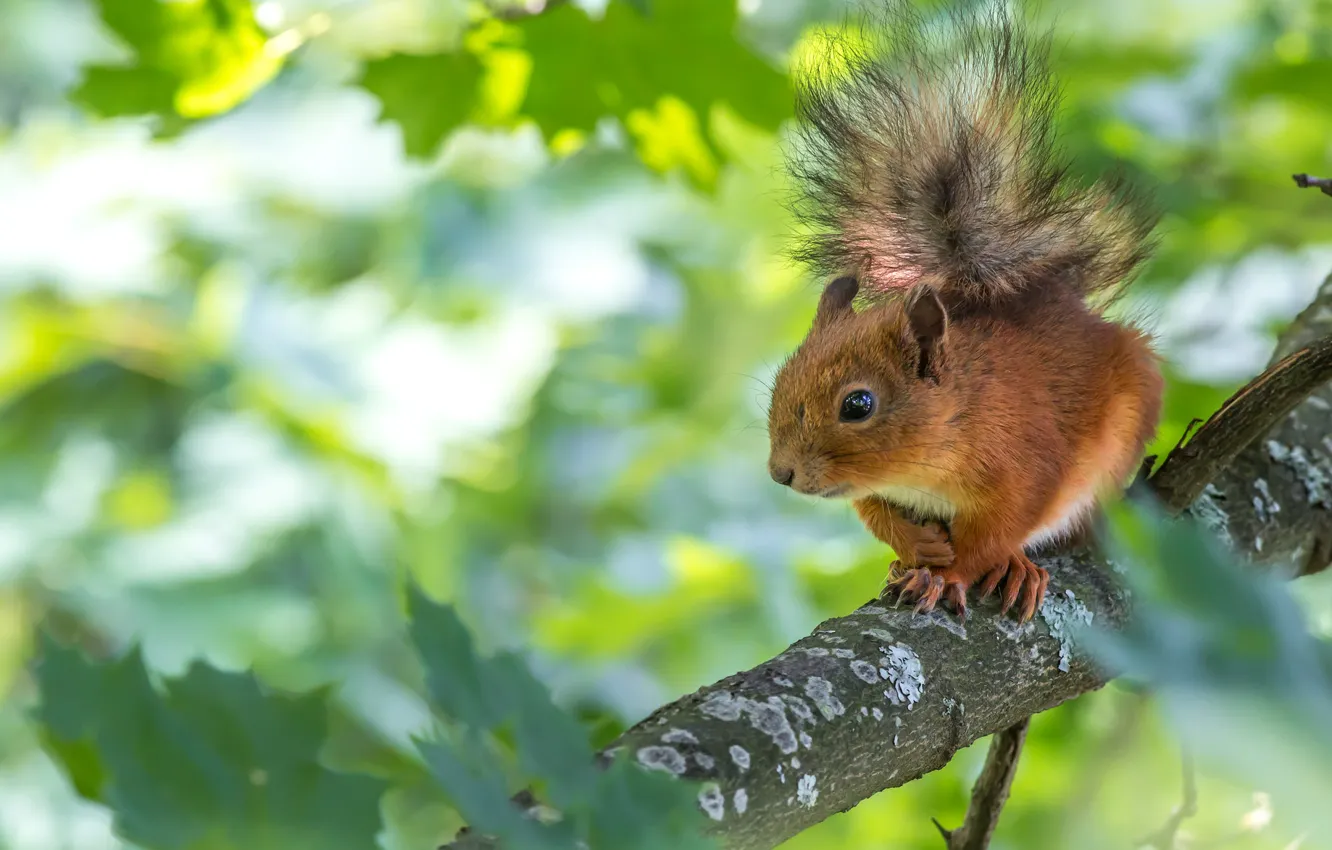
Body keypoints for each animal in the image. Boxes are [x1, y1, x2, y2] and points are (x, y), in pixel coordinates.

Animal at [767, 3, 1161, 623]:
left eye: (858, 404)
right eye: (779, 382)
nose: (780, 473)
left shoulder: (1026, 462)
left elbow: (998, 531)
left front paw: (949, 573)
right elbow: (874, 513)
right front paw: (914, 548)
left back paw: (1020, 569)